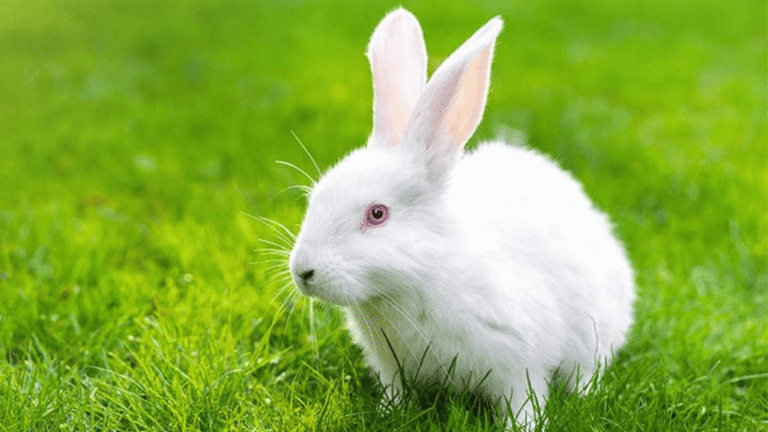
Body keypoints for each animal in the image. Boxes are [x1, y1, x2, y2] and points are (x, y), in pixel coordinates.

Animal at [288, 7, 635, 429]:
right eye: (316, 197)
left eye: (377, 214)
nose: (302, 271)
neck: (422, 273)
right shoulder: (391, 365)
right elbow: (394, 392)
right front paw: (390, 413)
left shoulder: (517, 362)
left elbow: (525, 399)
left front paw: (523, 426)